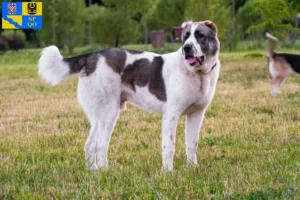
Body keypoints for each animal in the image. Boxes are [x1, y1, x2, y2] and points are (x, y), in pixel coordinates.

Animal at [38, 20, 220, 171]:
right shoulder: (171, 115)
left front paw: (192, 168)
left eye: (200, 35)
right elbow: (169, 146)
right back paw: (105, 171)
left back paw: (94, 170)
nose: (186, 48)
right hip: (109, 112)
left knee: (91, 144)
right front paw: (168, 172)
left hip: (101, 115)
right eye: (186, 37)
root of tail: (92, 55)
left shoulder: (196, 114)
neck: (197, 74)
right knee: (100, 144)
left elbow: (192, 144)